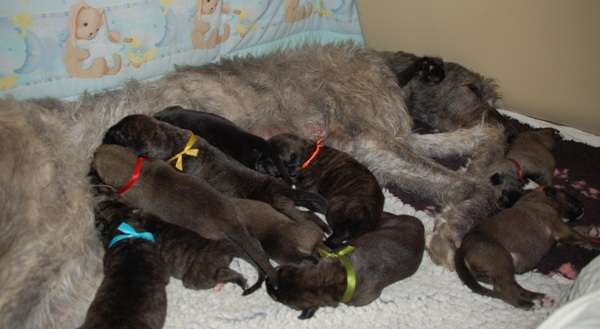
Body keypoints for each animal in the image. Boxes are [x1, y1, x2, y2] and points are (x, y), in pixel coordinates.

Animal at [102, 114, 328, 232]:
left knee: (304, 217)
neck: (170, 140)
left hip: (282, 206)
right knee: (308, 214)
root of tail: (275, 186)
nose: (104, 136)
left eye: (119, 134)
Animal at [454, 187, 596, 308]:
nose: (583, 207)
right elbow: (586, 238)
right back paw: (526, 304)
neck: (539, 198)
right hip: (502, 259)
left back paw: (536, 296)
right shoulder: (564, 231)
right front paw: (594, 240)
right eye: (572, 200)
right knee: (505, 289)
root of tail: (462, 247)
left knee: (510, 285)